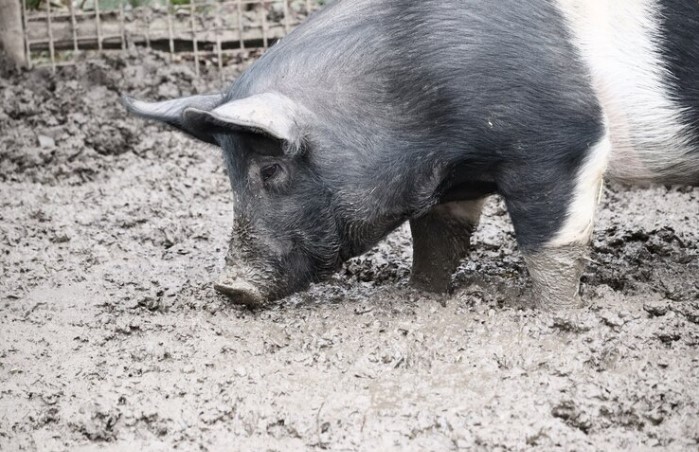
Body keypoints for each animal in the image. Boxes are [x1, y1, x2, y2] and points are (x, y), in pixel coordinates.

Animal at [123, 0, 696, 308]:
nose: (229, 286)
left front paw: (559, 315)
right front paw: (421, 296)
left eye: (271, 168)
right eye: (229, 175)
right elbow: (438, 240)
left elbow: (552, 244)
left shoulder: (561, 143)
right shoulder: (455, 179)